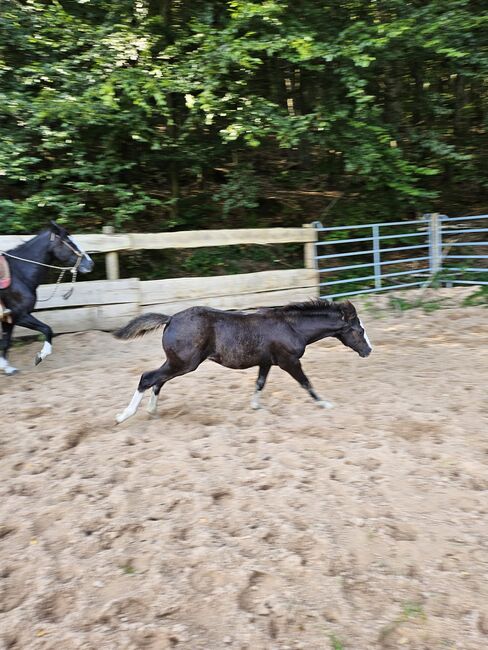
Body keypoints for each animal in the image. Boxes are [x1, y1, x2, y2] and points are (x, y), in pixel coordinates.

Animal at [0, 219, 94, 372]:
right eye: (70, 242)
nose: (90, 263)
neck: (18, 273)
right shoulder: (20, 315)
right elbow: (47, 329)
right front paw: (41, 355)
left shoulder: (8, 319)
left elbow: (5, 342)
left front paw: (7, 368)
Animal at [113, 298, 374, 422]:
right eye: (359, 331)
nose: (368, 351)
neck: (292, 327)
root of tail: (170, 319)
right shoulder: (289, 362)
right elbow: (306, 383)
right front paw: (325, 404)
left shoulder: (266, 362)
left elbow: (260, 383)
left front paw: (256, 406)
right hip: (184, 363)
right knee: (148, 378)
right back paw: (124, 415)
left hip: (178, 363)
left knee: (158, 380)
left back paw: (152, 410)